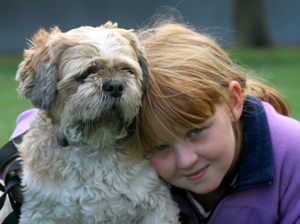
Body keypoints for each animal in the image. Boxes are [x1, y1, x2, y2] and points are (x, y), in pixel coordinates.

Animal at [15, 21, 179, 224]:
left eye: (127, 70)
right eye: (86, 73)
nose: (115, 86)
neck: (95, 147)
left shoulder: (156, 204)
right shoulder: (41, 211)